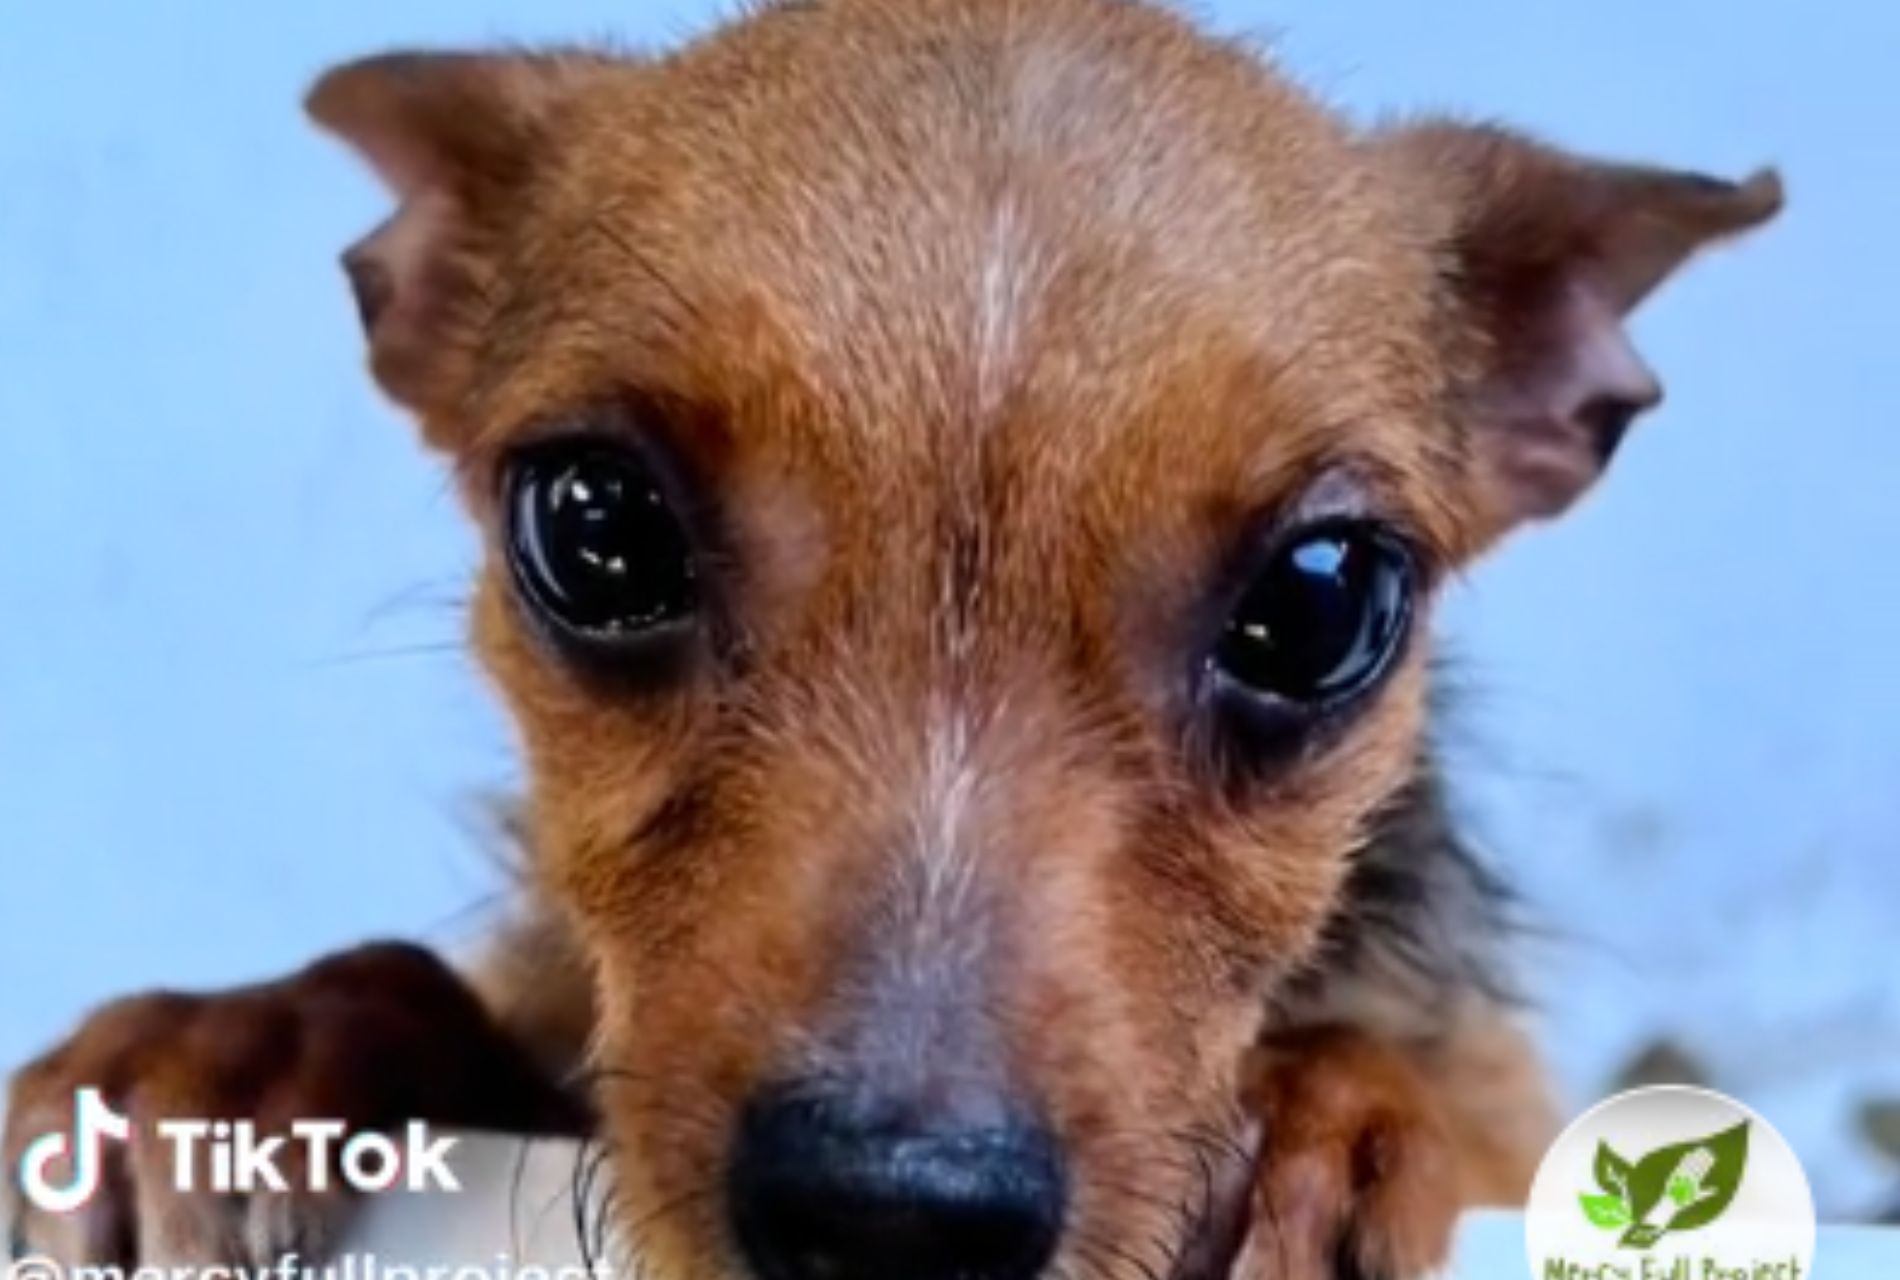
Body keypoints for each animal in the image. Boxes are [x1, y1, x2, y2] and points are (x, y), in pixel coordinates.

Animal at [3, 2, 1778, 1276]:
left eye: (1324, 600)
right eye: (596, 526)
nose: (892, 1221)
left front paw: (1333, 1116)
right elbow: (415, 982)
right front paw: (237, 1049)